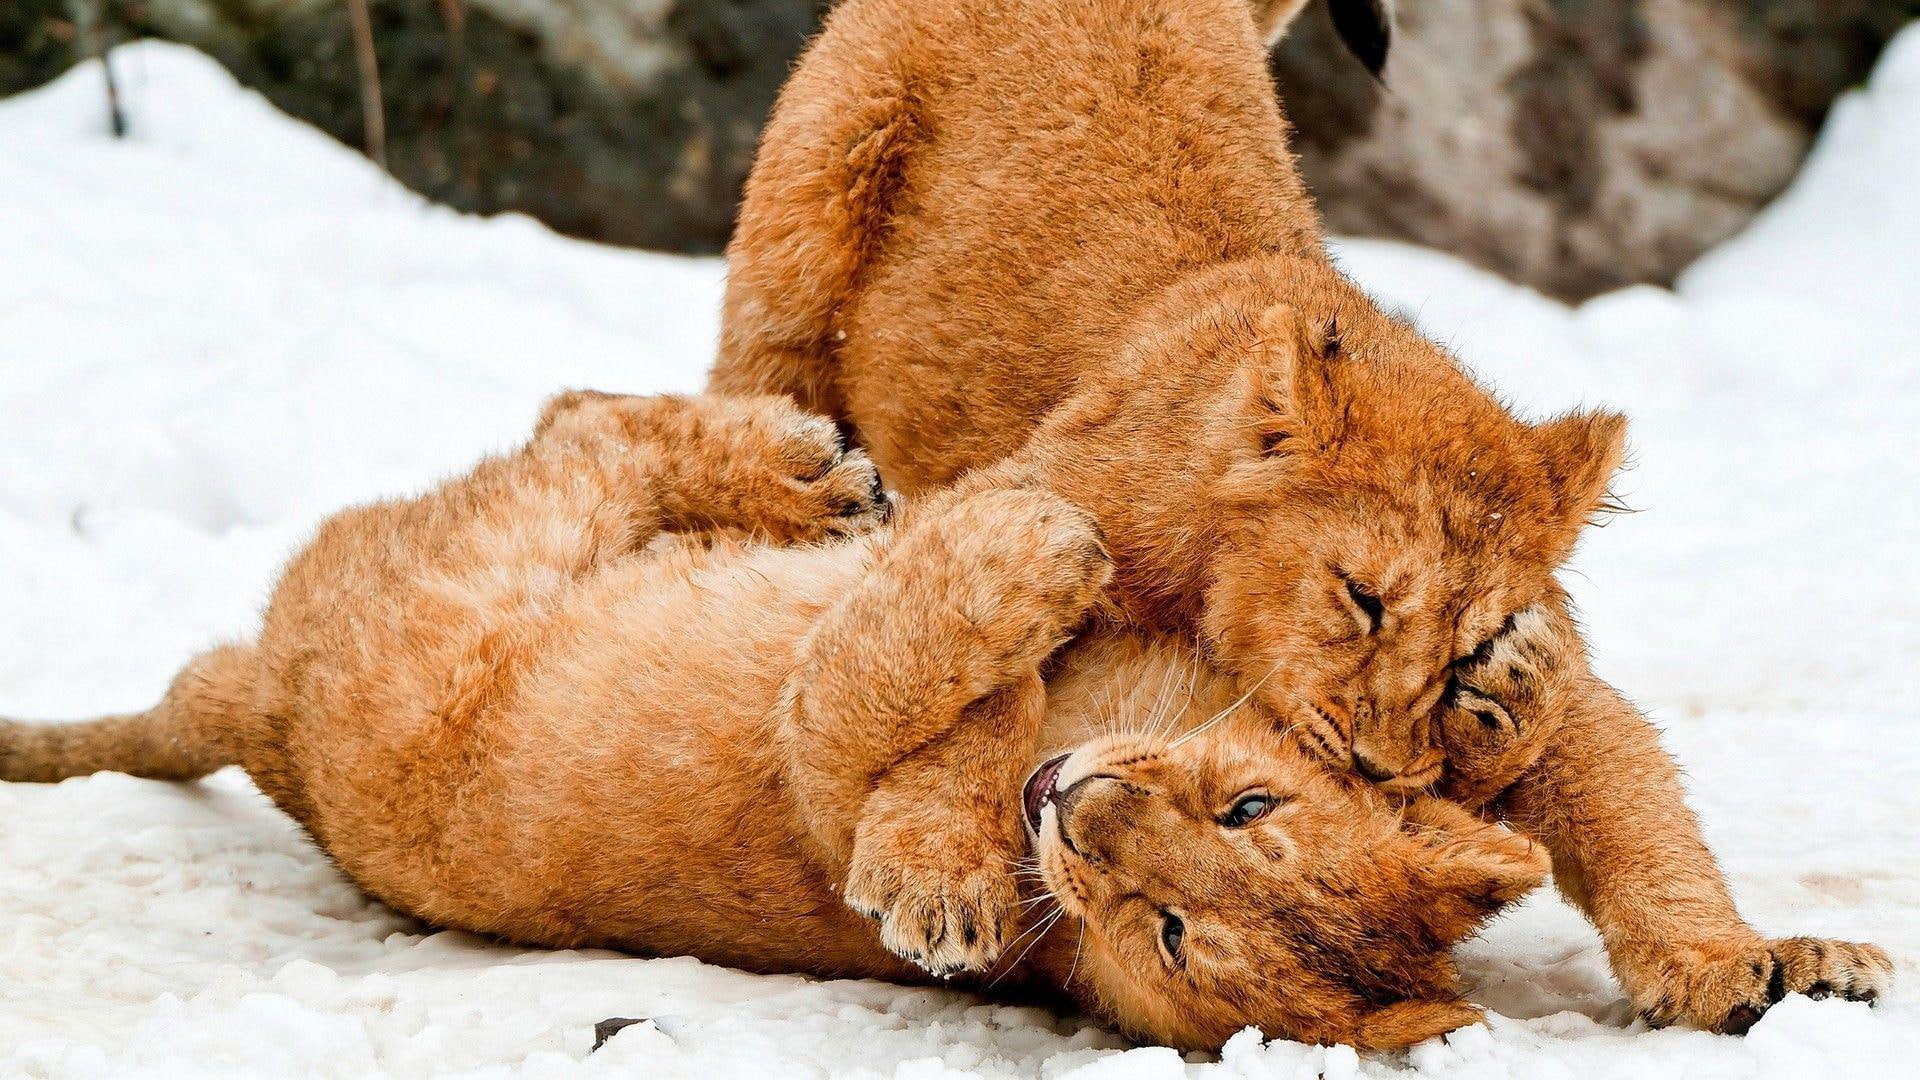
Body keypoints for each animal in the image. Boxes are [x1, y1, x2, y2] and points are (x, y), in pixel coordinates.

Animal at [1, 392, 1551, 1052]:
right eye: (1250, 805)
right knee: (581, 410)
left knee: (585, 443)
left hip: (492, 566)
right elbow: (975, 699)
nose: (1081, 808)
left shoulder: (812, 753)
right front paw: (1040, 550)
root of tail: (265, 711)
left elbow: (879, 695)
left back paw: (806, 476)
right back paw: (813, 469)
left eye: (1173, 933)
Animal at [706, 0, 1892, 1031]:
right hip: (806, 227)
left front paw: (1738, 966)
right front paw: (937, 873)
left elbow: (1634, 813)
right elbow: (988, 692)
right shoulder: (1016, 500)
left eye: (1463, 652)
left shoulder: (1567, 703)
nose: (1378, 763)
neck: (1206, 582)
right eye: (1361, 599)